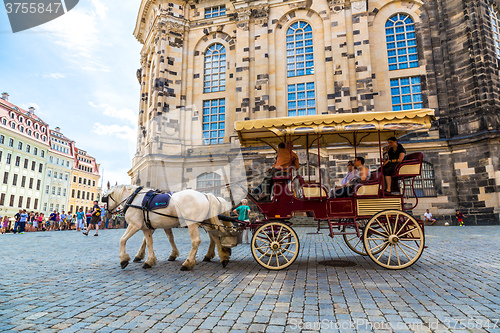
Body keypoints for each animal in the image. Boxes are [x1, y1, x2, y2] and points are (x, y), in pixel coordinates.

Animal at [104, 184, 232, 270]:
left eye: (104, 199)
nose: (107, 214)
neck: (134, 199)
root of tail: (205, 195)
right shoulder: (148, 227)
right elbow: (150, 242)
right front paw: (149, 260)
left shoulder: (134, 225)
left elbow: (122, 240)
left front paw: (123, 259)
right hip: (207, 222)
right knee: (216, 237)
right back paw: (223, 257)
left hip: (192, 223)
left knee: (197, 241)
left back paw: (188, 263)